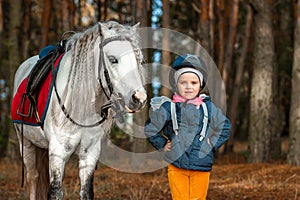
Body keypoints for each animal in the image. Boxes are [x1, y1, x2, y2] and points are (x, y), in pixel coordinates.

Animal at [11, 21, 147, 199]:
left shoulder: (90, 152)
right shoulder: (58, 152)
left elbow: (86, 191)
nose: (139, 98)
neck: (80, 105)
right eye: (113, 59)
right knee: (33, 177)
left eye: (140, 61)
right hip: (25, 143)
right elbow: (55, 192)